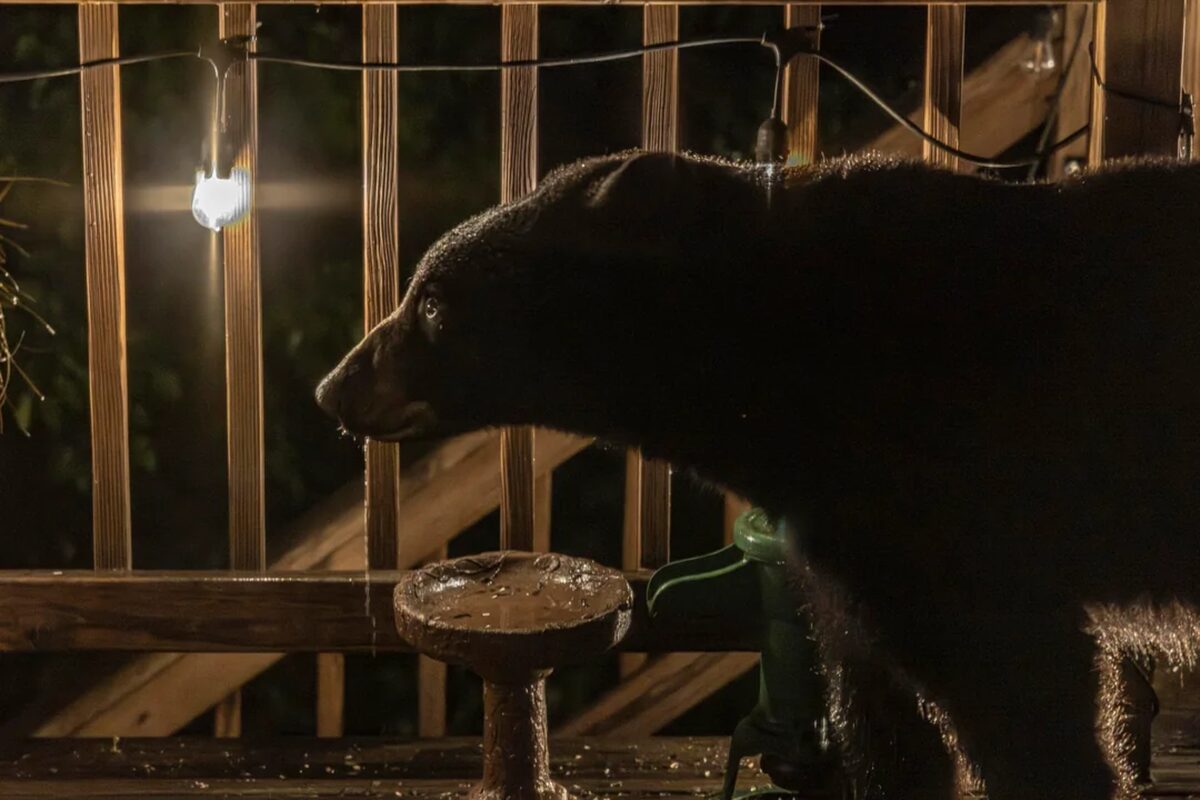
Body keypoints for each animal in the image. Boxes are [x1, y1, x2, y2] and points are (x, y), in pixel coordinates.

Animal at [316, 149, 1200, 800]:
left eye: (432, 304)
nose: (333, 387)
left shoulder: (956, 508)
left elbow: (1028, 694)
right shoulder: (852, 549)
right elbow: (883, 712)